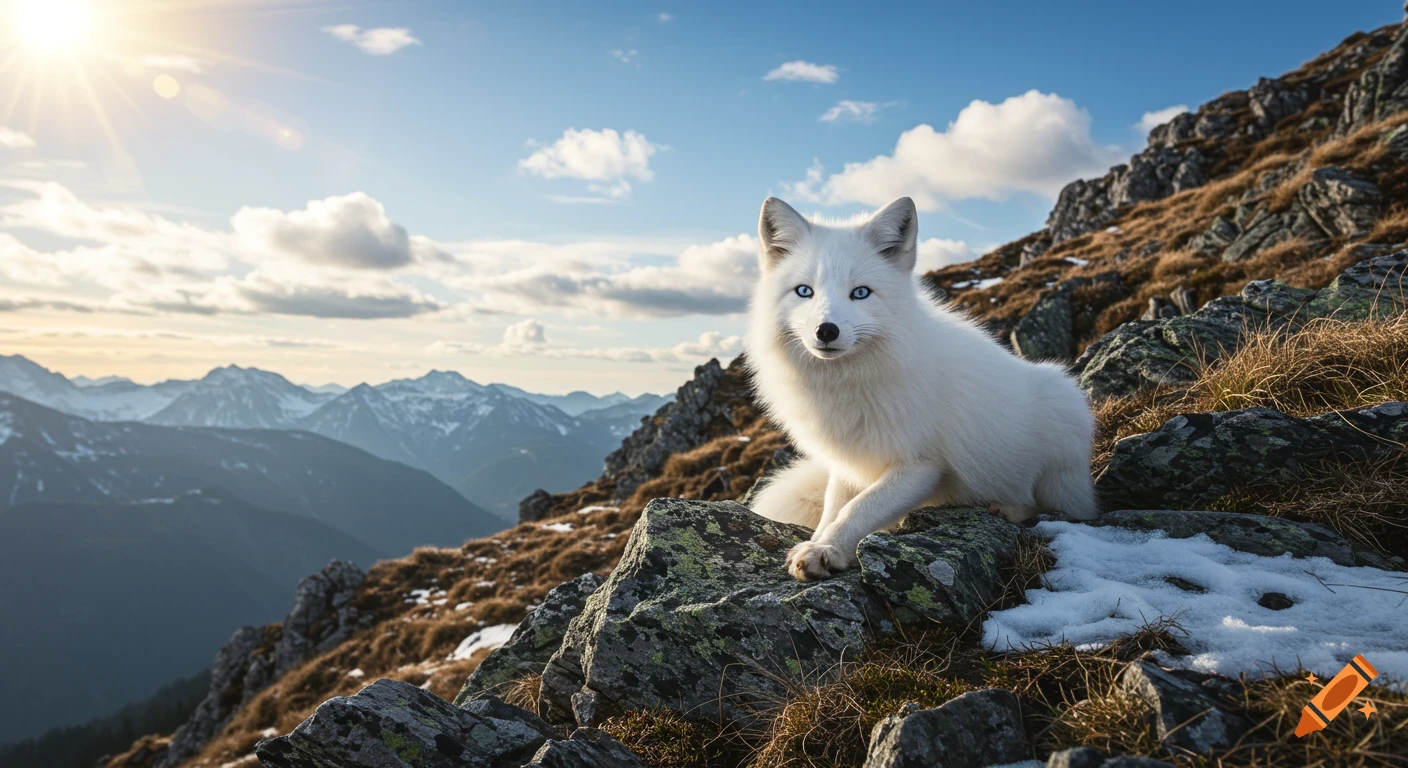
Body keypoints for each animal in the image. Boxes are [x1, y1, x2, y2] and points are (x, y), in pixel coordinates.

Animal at [745, 196, 1098, 582]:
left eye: (860, 293)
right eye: (804, 291)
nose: (826, 330)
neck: (848, 383)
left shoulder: (922, 465)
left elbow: (861, 507)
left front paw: (826, 550)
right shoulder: (849, 461)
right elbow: (833, 506)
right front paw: (819, 542)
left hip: (1062, 418)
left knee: (1055, 507)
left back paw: (1007, 507)